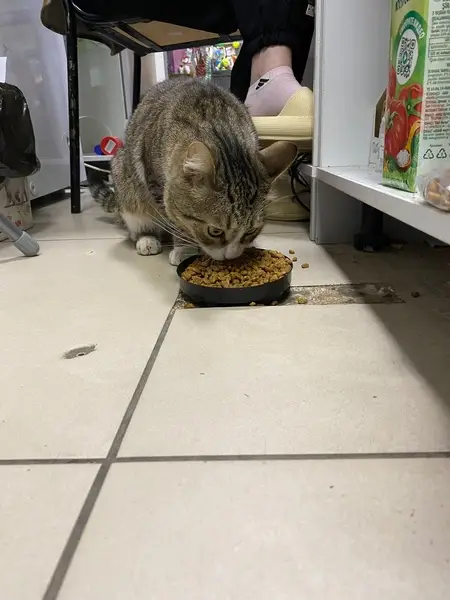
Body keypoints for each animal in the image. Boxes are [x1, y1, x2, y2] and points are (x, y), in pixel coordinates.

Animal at [92, 77, 297, 265]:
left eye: (251, 231)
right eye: (215, 231)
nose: (230, 257)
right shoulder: (156, 184)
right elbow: (177, 220)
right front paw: (185, 248)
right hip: (126, 184)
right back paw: (147, 238)